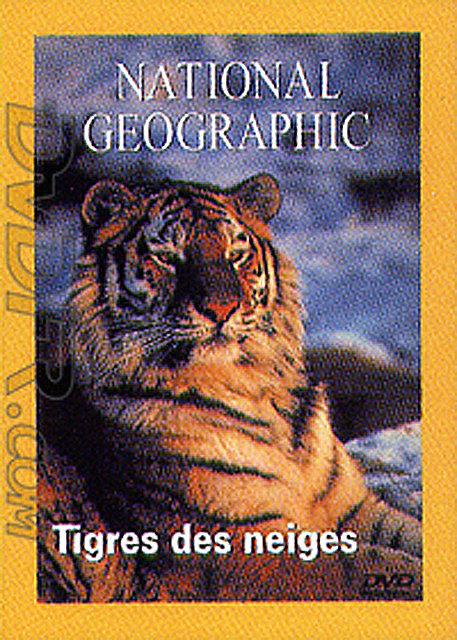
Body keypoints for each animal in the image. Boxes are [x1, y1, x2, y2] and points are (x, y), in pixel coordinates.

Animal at [38, 174, 422, 602]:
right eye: (167, 258)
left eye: (235, 254)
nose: (222, 309)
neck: (254, 390)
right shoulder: (242, 549)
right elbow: (381, 566)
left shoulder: (356, 509)